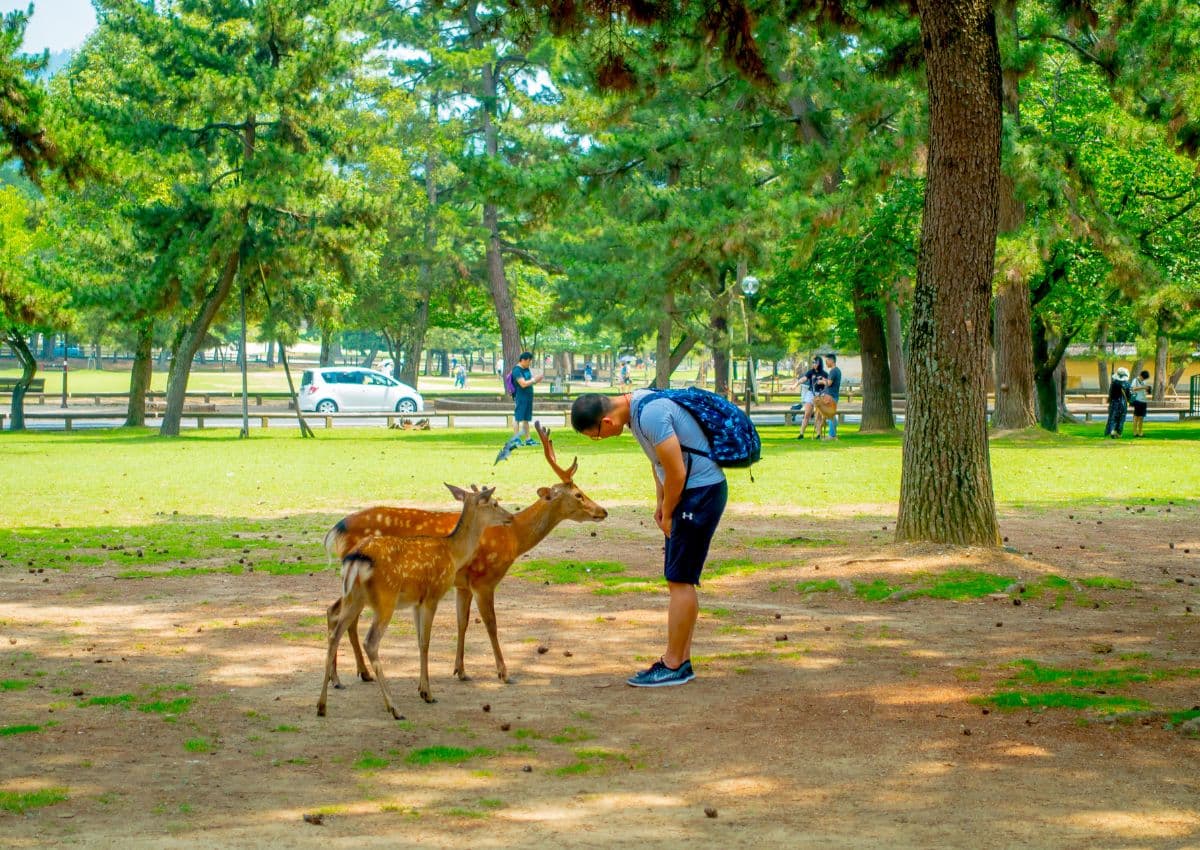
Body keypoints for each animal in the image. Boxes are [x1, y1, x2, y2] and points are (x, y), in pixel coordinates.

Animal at [314, 485, 511, 715]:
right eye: (495, 503)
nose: (510, 517)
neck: (453, 552)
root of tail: (355, 560)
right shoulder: (432, 595)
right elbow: (425, 642)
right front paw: (428, 694)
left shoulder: (416, 602)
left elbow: (418, 641)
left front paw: (420, 688)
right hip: (385, 599)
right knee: (370, 641)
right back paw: (394, 707)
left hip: (354, 597)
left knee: (334, 628)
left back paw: (322, 704)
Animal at [321, 422, 609, 686]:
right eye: (578, 494)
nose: (602, 511)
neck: (514, 538)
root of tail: (336, 530)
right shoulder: (484, 579)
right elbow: (491, 623)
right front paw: (504, 673)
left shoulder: (462, 584)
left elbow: (463, 622)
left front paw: (460, 670)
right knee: (342, 616)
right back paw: (346, 675)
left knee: (337, 613)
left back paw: (354, 674)